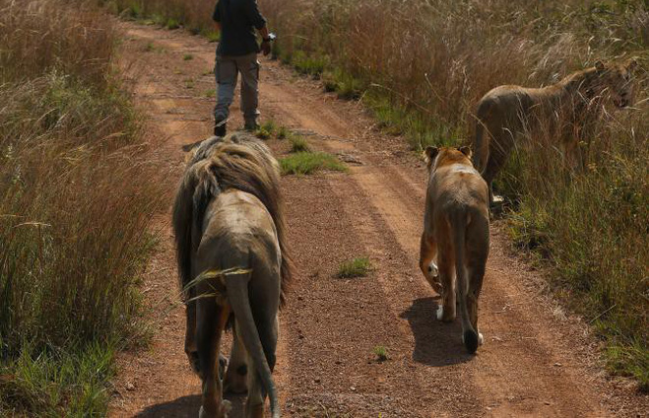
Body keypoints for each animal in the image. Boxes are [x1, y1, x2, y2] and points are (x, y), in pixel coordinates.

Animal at [172, 134, 294, 418]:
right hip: (266, 302)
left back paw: (215, 404)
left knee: (209, 374)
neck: (227, 186)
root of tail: (237, 248)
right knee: (259, 386)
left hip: (209, 297)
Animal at [420, 145, 486, 354]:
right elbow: (461, 282)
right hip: (478, 249)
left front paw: (435, 281)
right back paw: (476, 336)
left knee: (448, 290)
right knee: (471, 296)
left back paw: (443, 312)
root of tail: (460, 204)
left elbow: (423, 263)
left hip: (444, 244)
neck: (453, 158)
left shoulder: (429, 229)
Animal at [470, 58, 636, 203]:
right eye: (611, 80)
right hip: (503, 142)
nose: (624, 94)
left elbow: (566, 166)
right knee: (486, 174)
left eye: (627, 78)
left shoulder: (568, 139)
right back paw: (492, 201)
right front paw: (585, 182)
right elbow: (583, 161)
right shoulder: (583, 134)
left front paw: (568, 185)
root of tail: (485, 99)